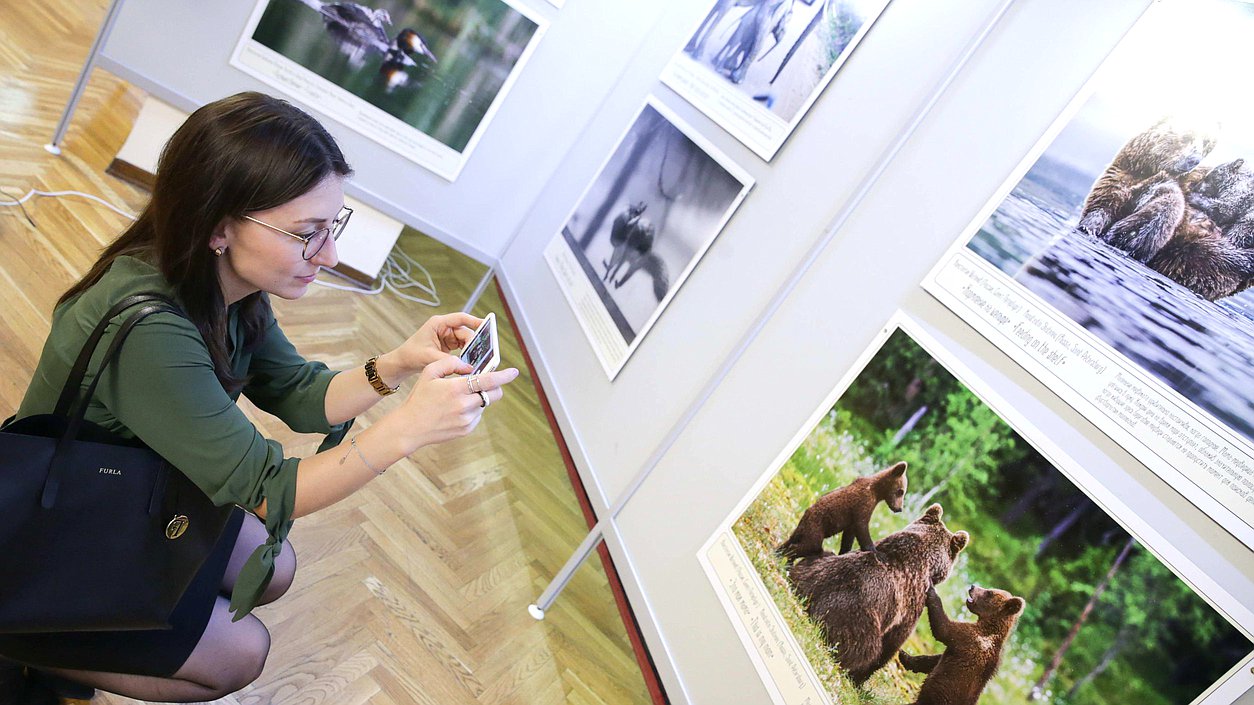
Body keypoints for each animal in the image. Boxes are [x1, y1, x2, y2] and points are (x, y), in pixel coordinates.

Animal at [772, 461, 912, 559]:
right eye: (901, 491)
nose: (899, 508)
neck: (876, 492)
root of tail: (805, 517)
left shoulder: (851, 519)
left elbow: (848, 536)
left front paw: (844, 551)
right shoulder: (862, 504)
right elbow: (862, 527)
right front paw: (876, 552)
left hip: (803, 528)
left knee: (792, 540)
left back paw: (778, 552)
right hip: (815, 527)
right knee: (810, 545)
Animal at [792, 501, 968, 682]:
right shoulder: (910, 605)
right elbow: (891, 644)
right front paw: (861, 679)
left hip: (812, 566)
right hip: (854, 618)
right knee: (864, 648)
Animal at [1073, 119, 1218, 254]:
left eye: (1206, 143)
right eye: (1187, 136)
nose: (1194, 159)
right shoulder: (1122, 177)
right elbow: (1104, 202)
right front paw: (1091, 227)